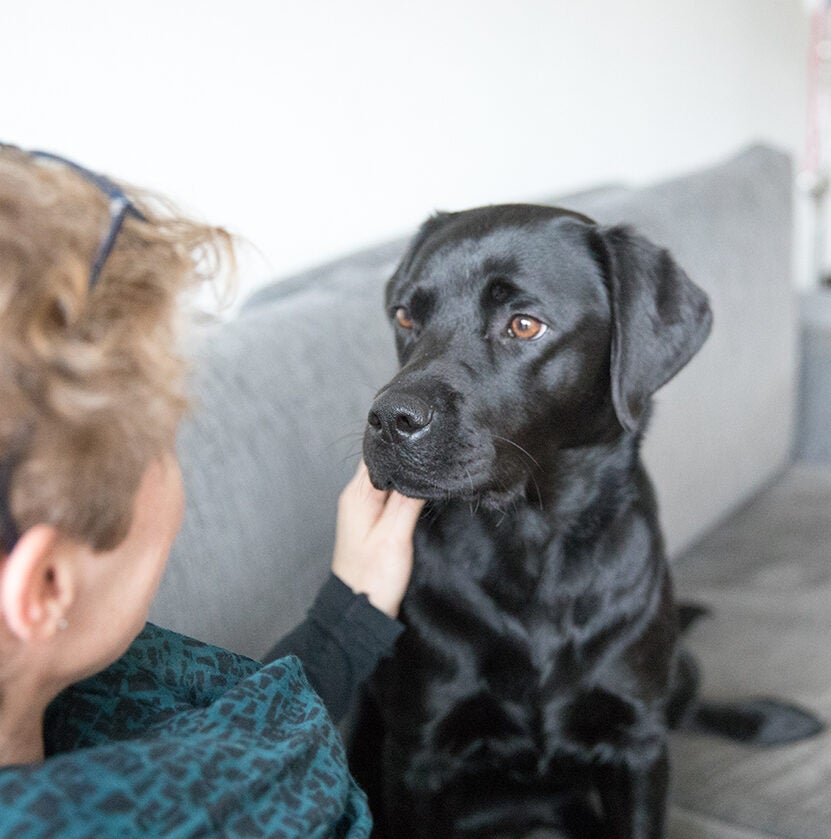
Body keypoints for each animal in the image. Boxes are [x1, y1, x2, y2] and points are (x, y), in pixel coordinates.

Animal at [352, 203, 820, 839]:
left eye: (525, 325)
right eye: (405, 316)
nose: (388, 420)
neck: (533, 542)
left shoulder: (637, 747)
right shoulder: (417, 755)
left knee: (690, 705)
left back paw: (769, 719)